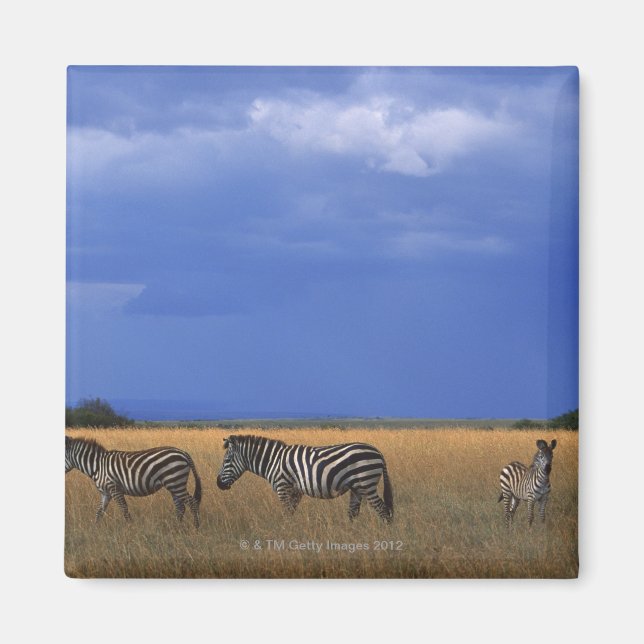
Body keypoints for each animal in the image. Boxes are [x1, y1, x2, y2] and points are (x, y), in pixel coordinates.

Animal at [65, 436, 202, 527]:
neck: (97, 466)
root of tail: (183, 452)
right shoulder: (105, 493)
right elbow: (99, 512)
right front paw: (95, 529)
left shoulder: (114, 488)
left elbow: (124, 509)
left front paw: (130, 528)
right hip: (174, 484)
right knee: (180, 507)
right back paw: (176, 527)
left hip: (175, 482)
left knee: (192, 503)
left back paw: (196, 527)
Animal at [216, 435, 394, 523]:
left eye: (226, 461)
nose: (218, 484)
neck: (274, 460)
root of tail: (378, 452)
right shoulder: (296, 491)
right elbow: (291, 513)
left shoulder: (283, 487)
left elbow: (286, 514)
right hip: (357, 487)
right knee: (353, 513)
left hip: (366, 483)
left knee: (383, 511)